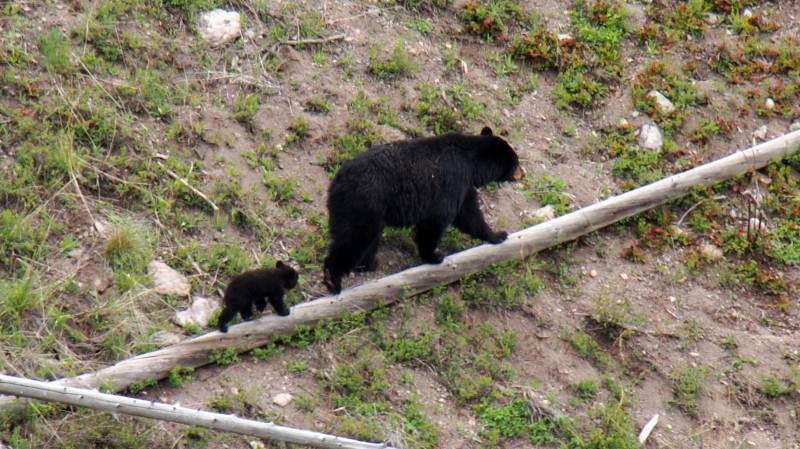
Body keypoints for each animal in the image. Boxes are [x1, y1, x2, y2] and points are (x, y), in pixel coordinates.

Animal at [324, 127, 524, 294]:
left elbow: (470, 215)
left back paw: (368, 264)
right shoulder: (451, 182)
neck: (471, 163)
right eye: (517, 163)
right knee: (355, 239)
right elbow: (437, 220)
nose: (523, 173)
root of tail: (338, 181)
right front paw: (434, 256)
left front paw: (497, 235)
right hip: (366, 204)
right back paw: (333, 280)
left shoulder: (464, 186)